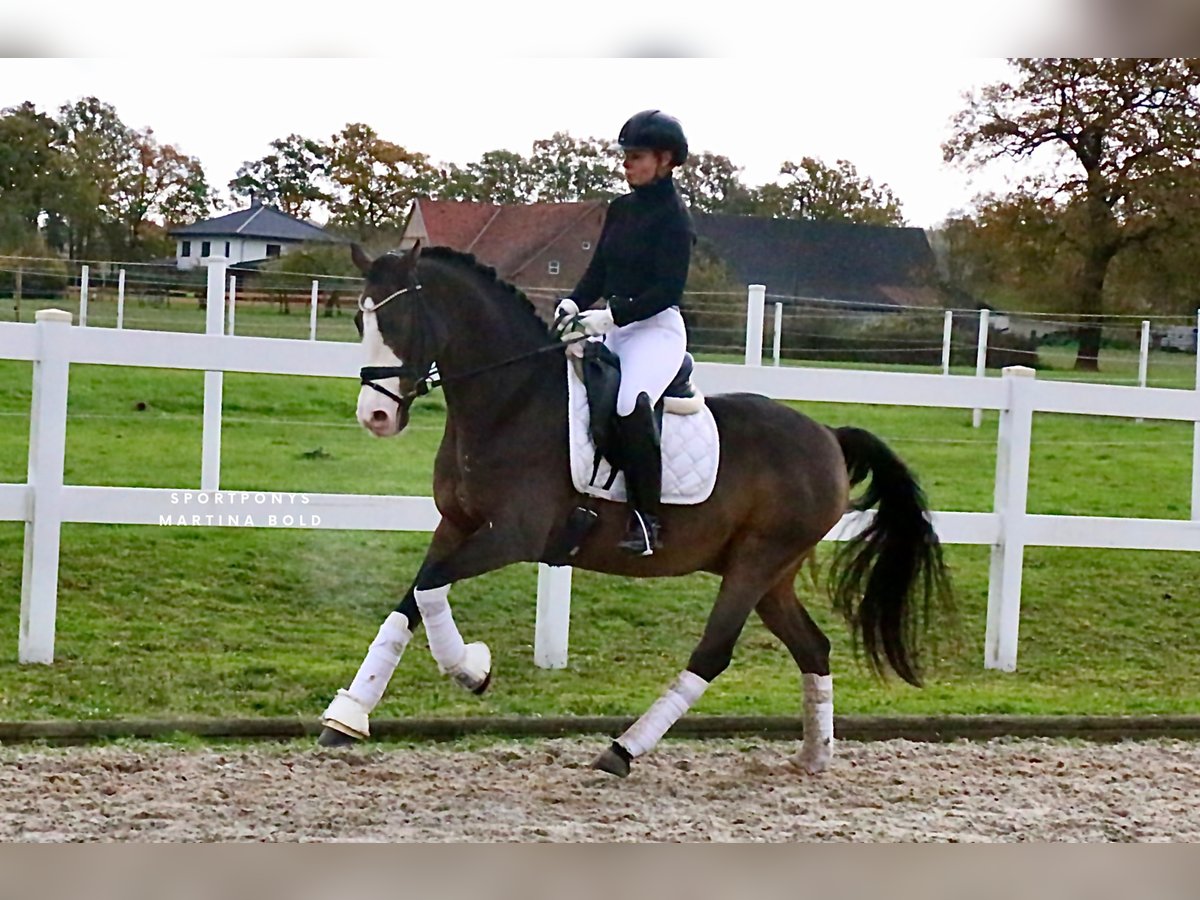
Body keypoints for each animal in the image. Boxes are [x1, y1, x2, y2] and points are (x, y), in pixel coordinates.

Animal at [318, 241, 954, 778]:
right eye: (359, 322)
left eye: (399, 322)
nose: (376, 417)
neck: (512, 399)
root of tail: (828, 435)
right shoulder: (457, 525)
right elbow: (415, 597)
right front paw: (349, 715)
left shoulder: (512, 536)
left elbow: (430, 590)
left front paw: (471, 668)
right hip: (773, 574)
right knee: (813, 648)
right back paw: (814, 756)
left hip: (756, 564)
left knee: (713, 653)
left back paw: (624, 749)